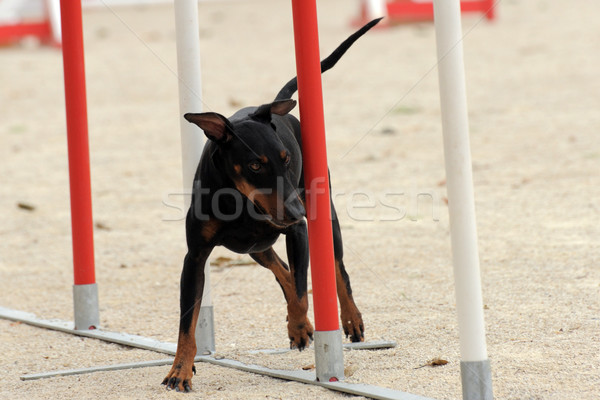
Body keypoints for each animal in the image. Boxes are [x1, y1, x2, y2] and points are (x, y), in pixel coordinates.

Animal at [163, 18, 380, 390]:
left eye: (286, 157)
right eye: (254, 165)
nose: (297, 212)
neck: (238, 199)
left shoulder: (299, 233)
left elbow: (303, 292)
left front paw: (300, 325)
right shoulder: (195, 258)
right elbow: (186, 325)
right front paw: (180, 370)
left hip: (325, 218)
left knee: (336, 270)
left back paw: (348, 320)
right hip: (254, 247)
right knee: (280, 268)